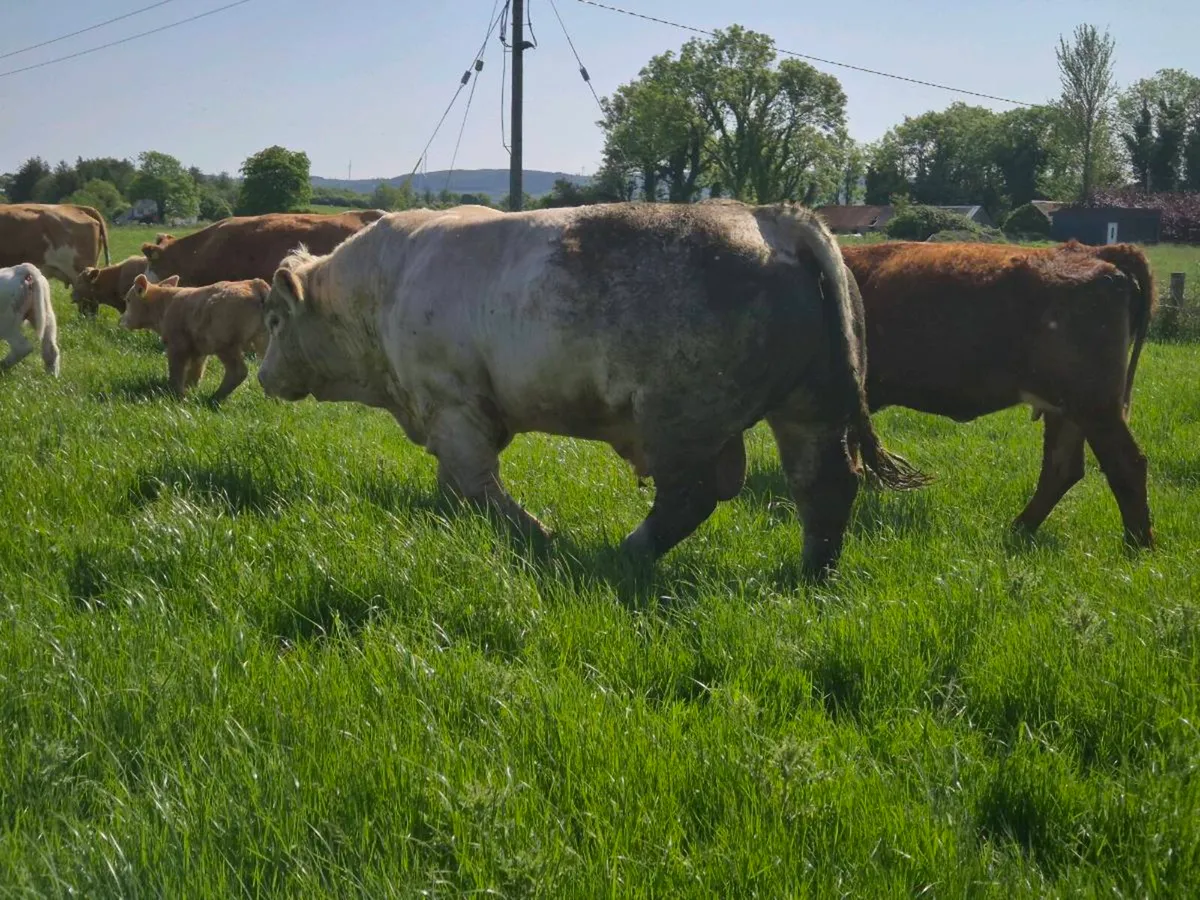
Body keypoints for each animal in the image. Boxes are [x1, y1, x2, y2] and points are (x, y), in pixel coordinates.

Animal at [120, 273, 270, 404]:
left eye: (128, 300)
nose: (122, 321)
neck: (164, 305)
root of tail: (256, 285)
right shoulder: (198, 350)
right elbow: (195, 372)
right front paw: (191, 390)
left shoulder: (177, 346)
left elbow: (177, 372)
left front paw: (176, 395)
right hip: (268, 340)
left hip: (224, 343)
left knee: (238, 372)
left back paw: (214, 399)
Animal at [256, 202, 928, 578]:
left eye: (274, 319)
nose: (262, 375)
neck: (386, 282)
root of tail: (773, 218)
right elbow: (455, 488)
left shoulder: (453, 405)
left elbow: (476, 483)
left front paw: (536, 535)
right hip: (810, 408)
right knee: (824, 484)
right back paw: (813, 574)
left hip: (682, 419)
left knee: (690, 497)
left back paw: (623, 555)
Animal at [840, 238, 1156, 547]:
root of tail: (1096, 251)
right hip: (1066, 409)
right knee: (1062, 468)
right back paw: (1020, 529)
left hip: (1093, 406)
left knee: (1125, 464)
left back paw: (1138, 544)